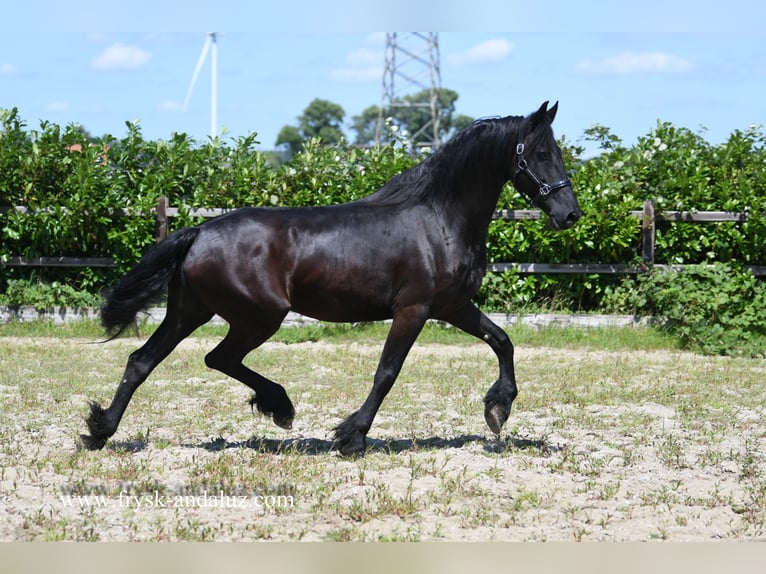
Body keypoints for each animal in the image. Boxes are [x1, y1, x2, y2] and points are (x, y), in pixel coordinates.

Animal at [81, 101, 584, 456]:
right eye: (540, 153)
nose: (570, 214)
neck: (439, 218)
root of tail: (199, 232)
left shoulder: (453, 306)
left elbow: (502, 341)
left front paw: (498, 408)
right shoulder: (414, 310)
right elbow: (387, 373)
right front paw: (351, 436)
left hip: (191, 311)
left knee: (142, 361)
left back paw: (100, 431)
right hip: (258, 317)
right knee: (216, 358)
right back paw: (280, 407)